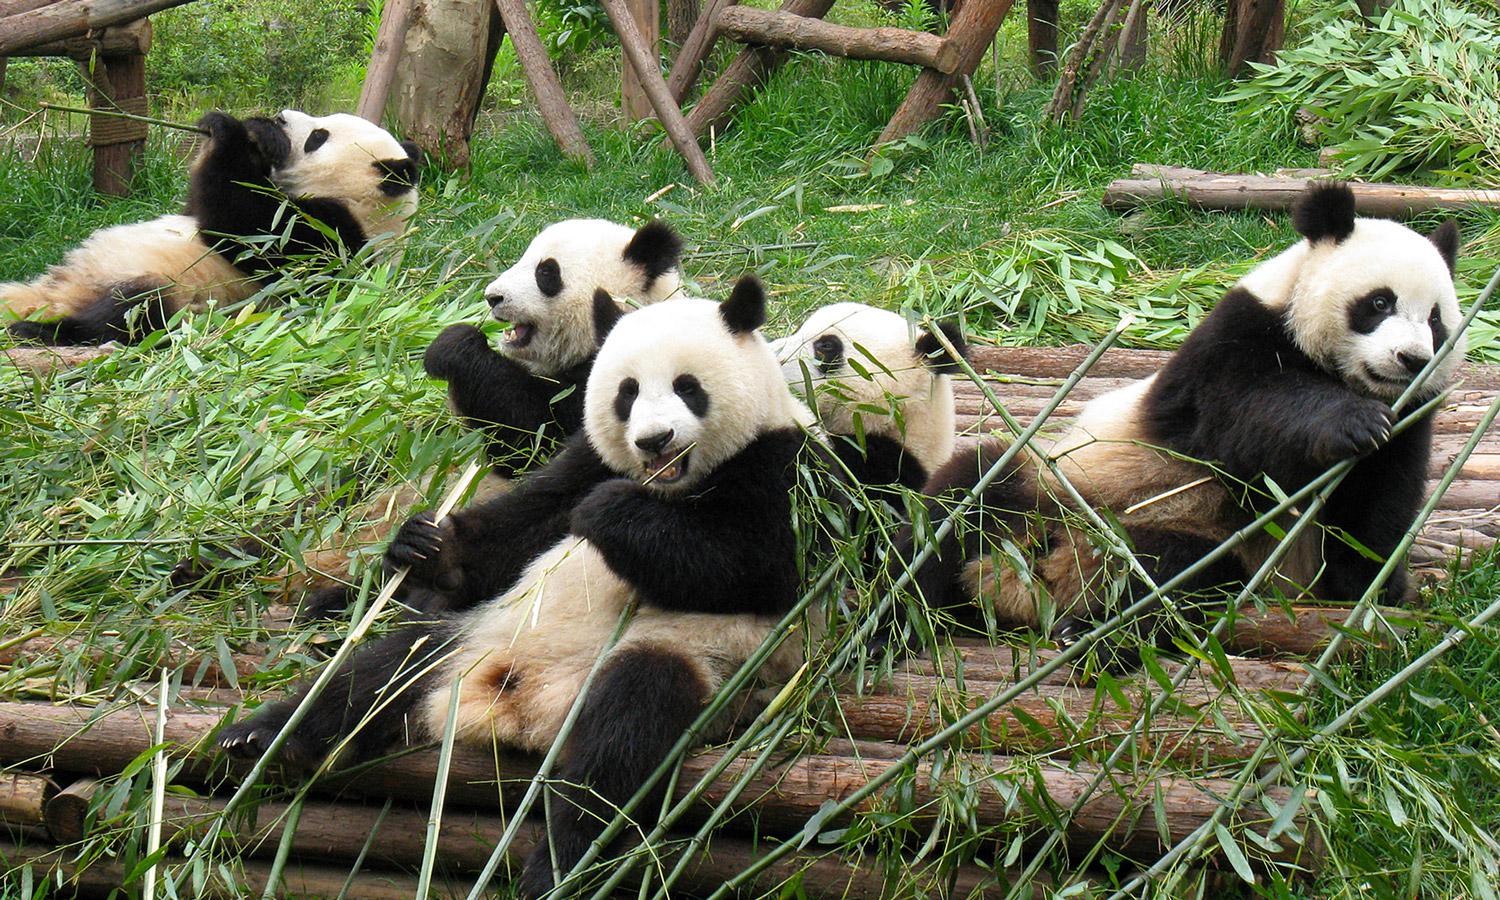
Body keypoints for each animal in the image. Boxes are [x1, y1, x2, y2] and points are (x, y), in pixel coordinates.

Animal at [3, 109, 421, 345]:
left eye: (319, 138)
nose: (281, 117)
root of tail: (63, 293)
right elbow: (202, 203)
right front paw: (255, 132)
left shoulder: (332, 241)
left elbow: (243, 229)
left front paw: (235, 131)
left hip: (171, 291)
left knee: (127, 315)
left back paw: (40, 331)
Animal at [218, 276, 828, 896]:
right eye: (627, 393)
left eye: (688, 388)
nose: (654, 441)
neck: (671, 484)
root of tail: (524, 710)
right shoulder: (585, 456)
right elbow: (525, 523)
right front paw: (426, 547)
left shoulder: (786, 470)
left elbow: (753, 568)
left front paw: (612, 513)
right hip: (475, 635)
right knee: (381, 673)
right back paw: (263, 738)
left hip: (691, 658)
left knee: (623, 735)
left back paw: (557, 867)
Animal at [900, 183, 1464, 656]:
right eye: (1379, 302)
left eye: (1436, 319)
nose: (1411, 359)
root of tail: (1035, 579)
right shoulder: (1227, 346)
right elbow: (1247, 415)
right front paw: (1354, 422)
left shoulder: (1413, 418)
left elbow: (1376, 512)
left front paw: (1373, 584)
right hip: (1051, 486)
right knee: (960, 504)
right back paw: (900, 614)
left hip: (1199, 550)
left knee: (1177, 580)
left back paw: (1094, 633)